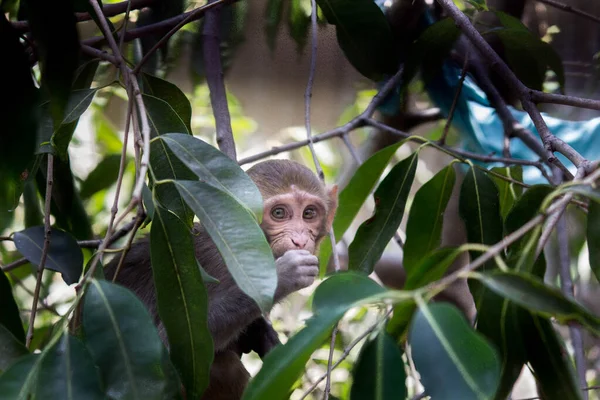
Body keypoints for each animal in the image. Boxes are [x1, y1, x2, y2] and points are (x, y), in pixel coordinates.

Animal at [104, 159, 338, 400]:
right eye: (279, 213)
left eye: (309, 213)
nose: (299, 240)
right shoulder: (218, 268)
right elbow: (166, 352)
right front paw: (285, 275)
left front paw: (262, 333)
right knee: (226, 368)